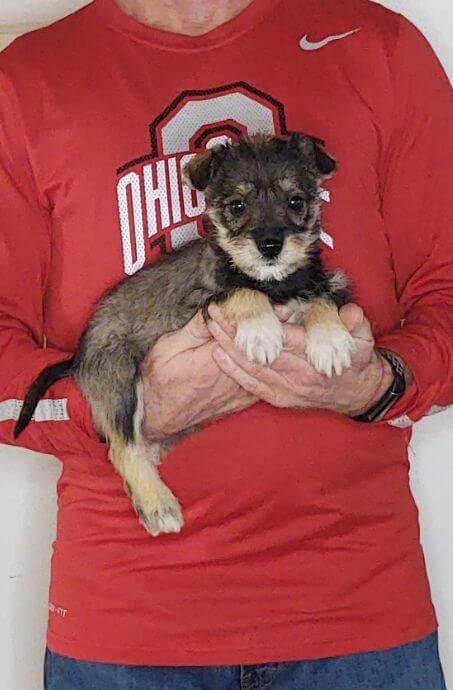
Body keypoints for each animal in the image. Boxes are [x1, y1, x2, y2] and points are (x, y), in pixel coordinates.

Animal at [14, 132, 354, 536]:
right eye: (238, 205)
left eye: (295, 201)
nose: (270, 245)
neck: (274, 282)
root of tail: (78, 359)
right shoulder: (202, 301)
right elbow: (241, 291)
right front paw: (261, 331)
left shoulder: (321, 282)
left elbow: (321, 298)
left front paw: (331, 342)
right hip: (120, 379)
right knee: (122, 447)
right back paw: (157, 505)